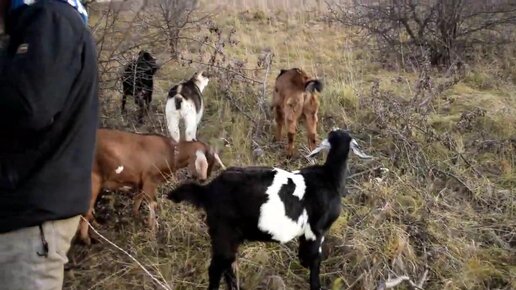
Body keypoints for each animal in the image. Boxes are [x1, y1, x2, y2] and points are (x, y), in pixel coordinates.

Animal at [78, 129, 226, 245]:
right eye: (208, 160)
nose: (204, 179)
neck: (171, 152)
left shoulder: (142, 181)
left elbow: (139, 198)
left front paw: (137, 216)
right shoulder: (150, 180)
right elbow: (153, 203)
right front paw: (153, 231)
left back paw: (96, 226)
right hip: (93, 179)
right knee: (86, 207)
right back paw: (86, 239)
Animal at [165, 130, 370, 290]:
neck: (329, 177)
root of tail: (208, 190)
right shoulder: (316, 232)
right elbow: (313, 263)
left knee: (228, 266)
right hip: (223, 232)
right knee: (217, 268)